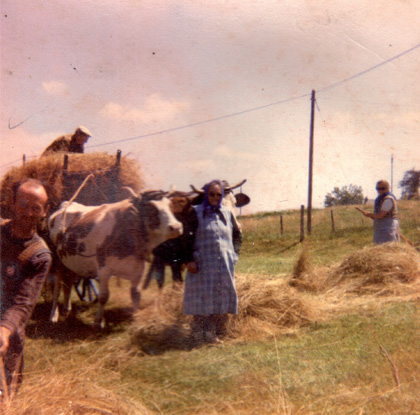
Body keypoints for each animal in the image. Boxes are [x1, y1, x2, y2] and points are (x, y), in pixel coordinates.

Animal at [47, 188, 182, 328]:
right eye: (150, 207)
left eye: (170, 205)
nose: (176, 227)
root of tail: (66, 204)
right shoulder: (103, 269)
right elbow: (103, 296)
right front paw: (98, 321)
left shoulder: (139, 269)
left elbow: (136, 294)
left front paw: (136, 318)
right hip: (57, 261)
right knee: (57, 287)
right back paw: (54, 315)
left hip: (71, 263)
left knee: (68, 283)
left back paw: (66, 310)